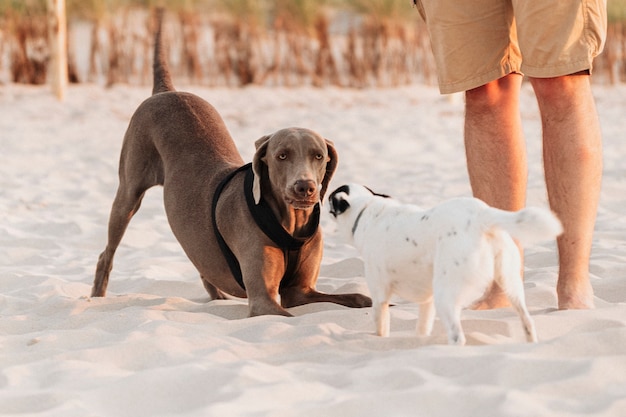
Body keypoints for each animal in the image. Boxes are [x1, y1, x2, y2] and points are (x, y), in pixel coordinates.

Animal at [90, 9, 368, 316]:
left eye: (318, 155)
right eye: (281, 155)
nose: (304, 187)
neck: (290, 221)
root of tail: (166, 90)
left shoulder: (301, 290)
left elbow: (359, 298)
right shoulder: (262, 300)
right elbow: (285, 314)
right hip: (128, 192)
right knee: (107, 253)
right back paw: (96, 297)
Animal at [326, 184, 560, 344]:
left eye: (330, 199)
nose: (322, 195)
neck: (368, 209)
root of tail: (481, 214)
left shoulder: (380, 296)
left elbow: (380, 327)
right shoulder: (426, 301)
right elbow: (422, 328)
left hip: (445, 295)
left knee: (458, 335)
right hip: (510, 284)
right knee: (528, 321)